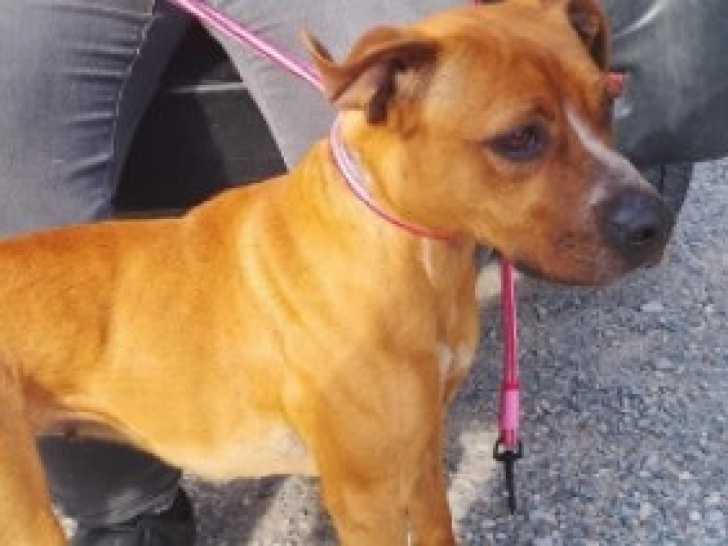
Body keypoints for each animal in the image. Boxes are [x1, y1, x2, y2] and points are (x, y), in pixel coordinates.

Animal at [0, 1, 673, 544]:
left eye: (608, 100)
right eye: (519, 138)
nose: (657, 223)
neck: (417, 259)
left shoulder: (422, 455)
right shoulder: (366, 498)